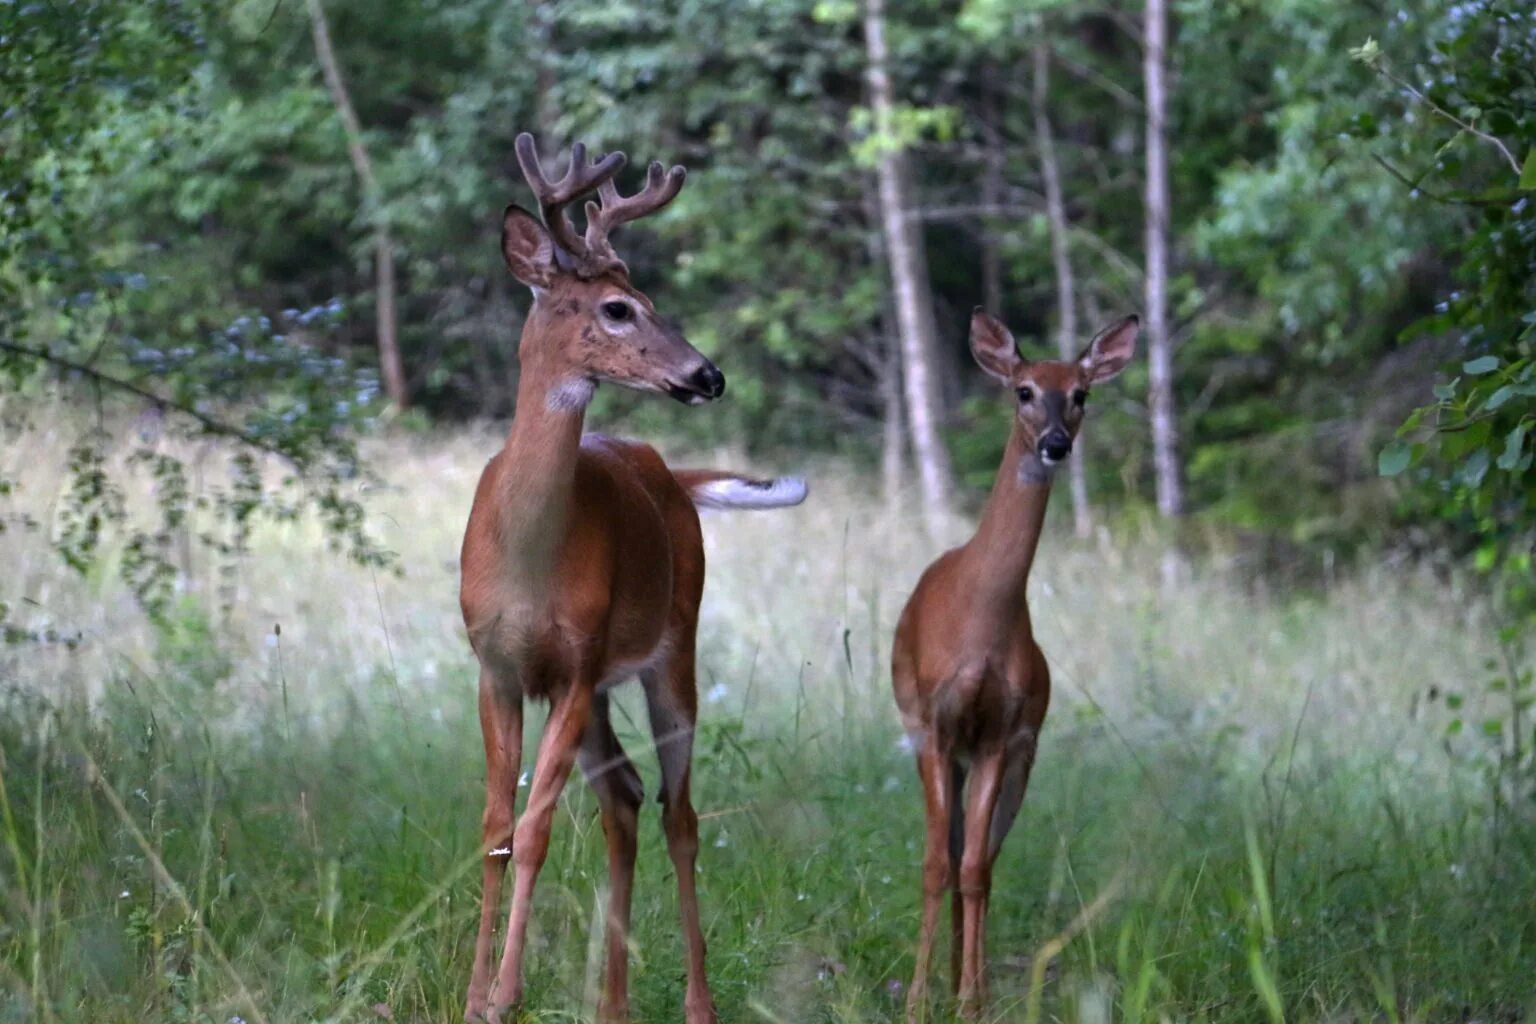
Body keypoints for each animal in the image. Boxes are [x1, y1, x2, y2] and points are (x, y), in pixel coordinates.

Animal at [457, 132, 811, 1019]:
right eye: (619, 307)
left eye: (648, 296)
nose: (709, 374)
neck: (527, 556)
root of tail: (671, 473)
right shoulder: (499, 667)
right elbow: (496, 828)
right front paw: (474, 997)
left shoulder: (577, 664)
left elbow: (537, 830)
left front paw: (507, 993)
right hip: (595, 690)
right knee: (622, 797)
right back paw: (610, 1002)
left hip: (670, 650)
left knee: (677, 811)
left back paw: (697, 1003)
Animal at [890, 310, 1142, 1019]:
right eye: (1024, 390)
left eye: (1081, 393)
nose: (1055, 442)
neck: (980, 623)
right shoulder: (934, 725)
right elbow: (934, 865)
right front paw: (916, 1001)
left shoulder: (1002, 734)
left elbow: (975, 869)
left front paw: (969, 1001)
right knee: (947, 856)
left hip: (1019, 759)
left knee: (981, 861)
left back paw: (963, 983)